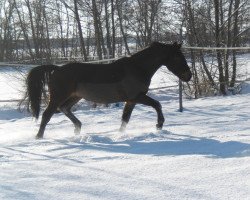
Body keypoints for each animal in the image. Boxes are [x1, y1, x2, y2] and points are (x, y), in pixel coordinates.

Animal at [25, 41, 191, 139]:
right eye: (177, 57)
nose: (188, 76)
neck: (138, 68)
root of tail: (57, 69)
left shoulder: (131, 100)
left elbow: (125, 119)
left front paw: (120, 135)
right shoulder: (137, 96)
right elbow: (157, 104)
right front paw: (159, 125)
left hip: (75, 96)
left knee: (64, 108)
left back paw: (78, 129)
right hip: (58, 96)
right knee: (47, 115)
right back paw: (39, 137)